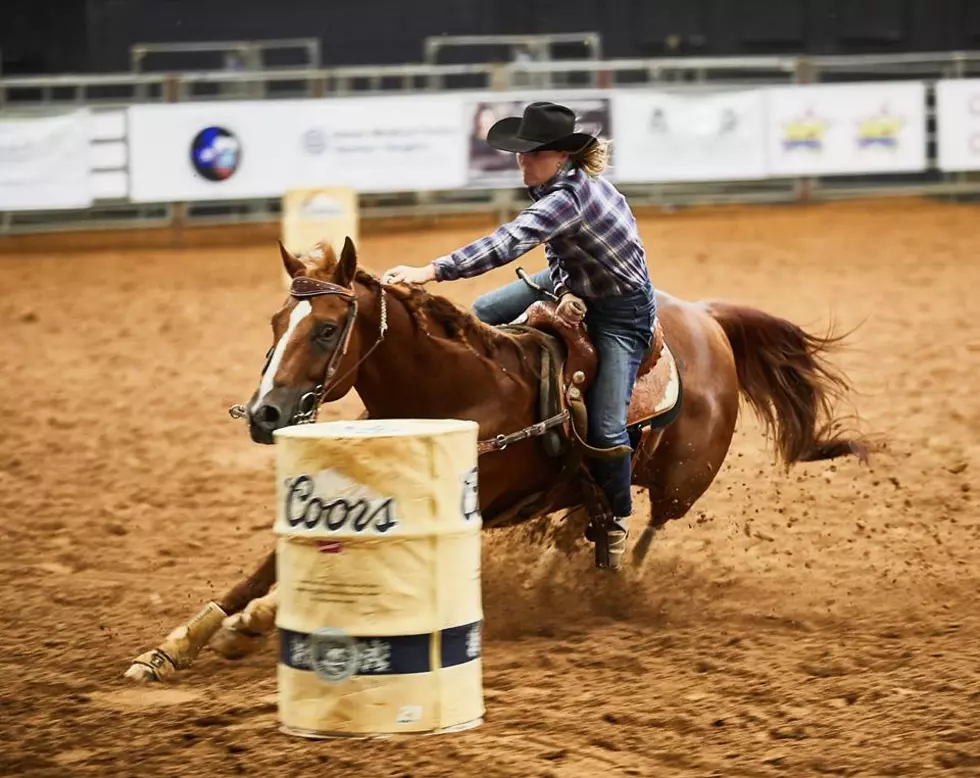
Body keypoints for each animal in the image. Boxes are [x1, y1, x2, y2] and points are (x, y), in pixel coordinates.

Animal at [120, 235, 864, 680]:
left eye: (327, 329)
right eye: (278, 323)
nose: (265, 415)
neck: (460, 394)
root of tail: (708, 319)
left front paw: (251, 624)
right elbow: (261, 567)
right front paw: (176, 646)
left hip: (681, 482)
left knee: (641, 524)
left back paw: (603, 580)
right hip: (590, 490)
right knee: (585, 521)